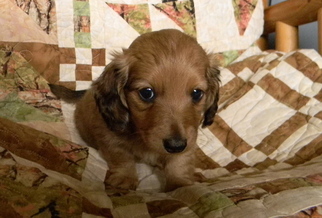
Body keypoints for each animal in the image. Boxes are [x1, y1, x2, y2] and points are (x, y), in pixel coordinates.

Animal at [51, 29, 220, 191]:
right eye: (146, 93)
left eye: (197, 93)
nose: (175, 145)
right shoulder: (110, 139)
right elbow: (122, 158)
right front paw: (124, 178)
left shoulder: (189, 142)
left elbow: (179, 162)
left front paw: (181, 184)